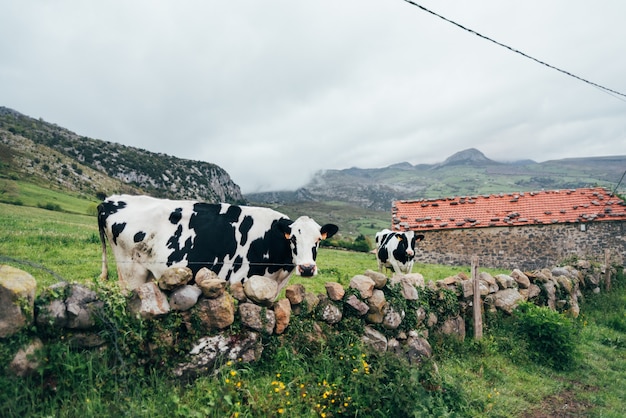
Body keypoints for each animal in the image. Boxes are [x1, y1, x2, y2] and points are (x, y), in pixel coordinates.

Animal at [98, 194, 336, 292]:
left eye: (318, 240)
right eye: (293, 238)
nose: (307, 268)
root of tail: (110, 200)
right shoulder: (241, 281)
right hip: (131, 273)